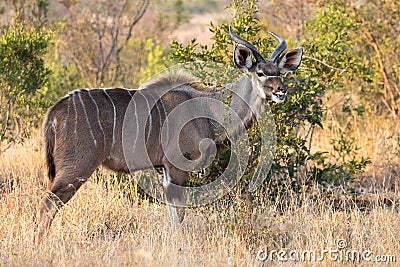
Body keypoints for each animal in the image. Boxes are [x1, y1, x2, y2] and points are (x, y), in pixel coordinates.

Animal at [39, 26, 302, 234]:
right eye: (260, 73)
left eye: (279, 72)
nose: (281, 91)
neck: (207, 107)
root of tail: (54, 112)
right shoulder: (178, 166)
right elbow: (180, 213)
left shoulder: (166, 169)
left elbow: (173, 215)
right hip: (77, 168)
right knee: (48, 205)